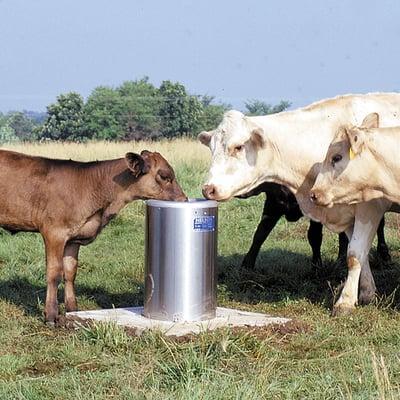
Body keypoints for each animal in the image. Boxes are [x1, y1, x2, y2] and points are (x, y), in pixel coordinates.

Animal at [0, 148, 188, 324]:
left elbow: (70, 272)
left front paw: (72, 310)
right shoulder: (54, 233)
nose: (184, 199)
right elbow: (54, 273)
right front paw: (51, 316)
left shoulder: (73, 239)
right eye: (164, 176)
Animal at [200, 94, 400, 316]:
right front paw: (366, 293)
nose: (208, 189)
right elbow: (359, 254)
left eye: (238, 147)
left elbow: (354, 254)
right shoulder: (345, 214)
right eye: (211, 149)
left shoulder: (369, 208)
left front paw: (345, 302)